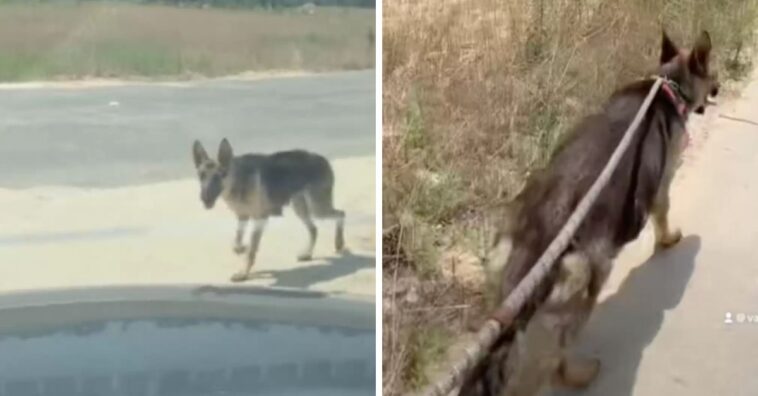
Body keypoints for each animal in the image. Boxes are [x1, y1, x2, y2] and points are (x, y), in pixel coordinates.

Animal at [193, 138, 348, 282]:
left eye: (220, 175)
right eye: (201, 176)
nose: (205, 198)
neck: (238, 178)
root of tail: (322, 158)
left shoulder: (259, 219)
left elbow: (251, 250)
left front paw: (243, 273)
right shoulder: (242, 216)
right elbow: (237, 241)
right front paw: (241, 249)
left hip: (318, 208)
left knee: (341, 213)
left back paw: (339, 242)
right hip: (300, 208)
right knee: (314, 229)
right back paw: (308, 253)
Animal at [460, 31, 720, 396]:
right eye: (712, 73)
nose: (718, 86)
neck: (669, 83)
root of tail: (533, 246)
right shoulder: (664, 183)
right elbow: (663, 215)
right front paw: (669, 239)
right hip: (582, 299)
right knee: (553, 363)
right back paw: (580, 374)